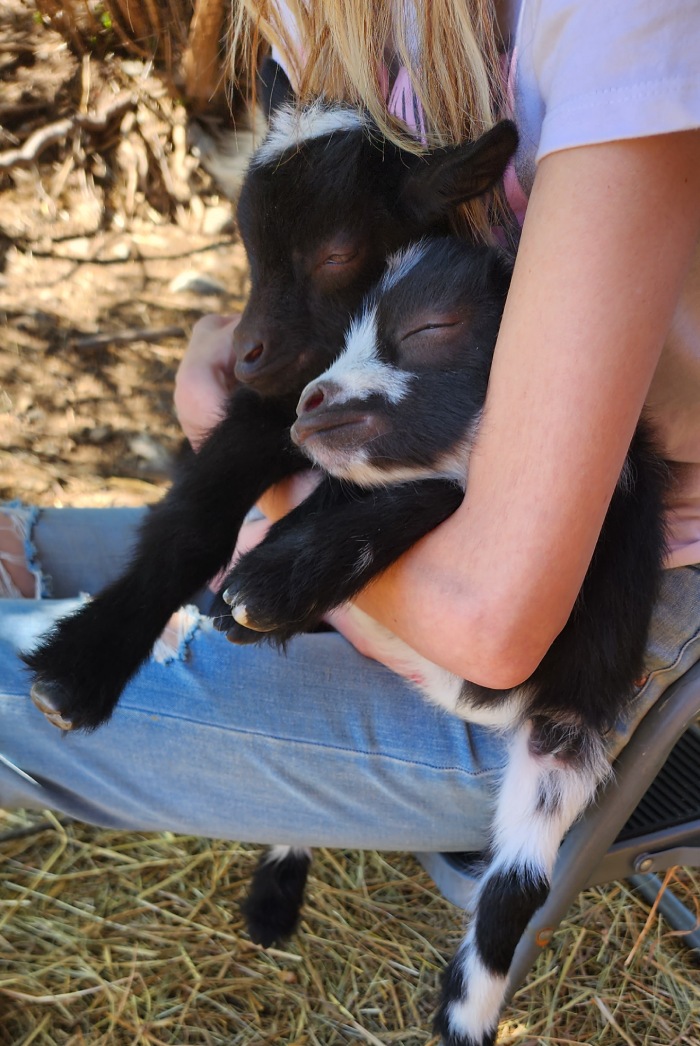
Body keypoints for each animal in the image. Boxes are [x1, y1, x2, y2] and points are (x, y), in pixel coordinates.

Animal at [25, 104, 512, 728]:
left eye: (336, 254)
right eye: (248, 247)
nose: (244, 352)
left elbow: (421, 484)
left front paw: (266, 593)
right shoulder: (268, 405)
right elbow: (193, 521)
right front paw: (79, 668)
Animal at [216, 237, 665, 1046]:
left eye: (432, 327)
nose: (309, 403)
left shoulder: (557, 687)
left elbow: (441, 491)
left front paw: (264, 589)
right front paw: (249, 596)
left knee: (517, 882)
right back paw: (272, 904)